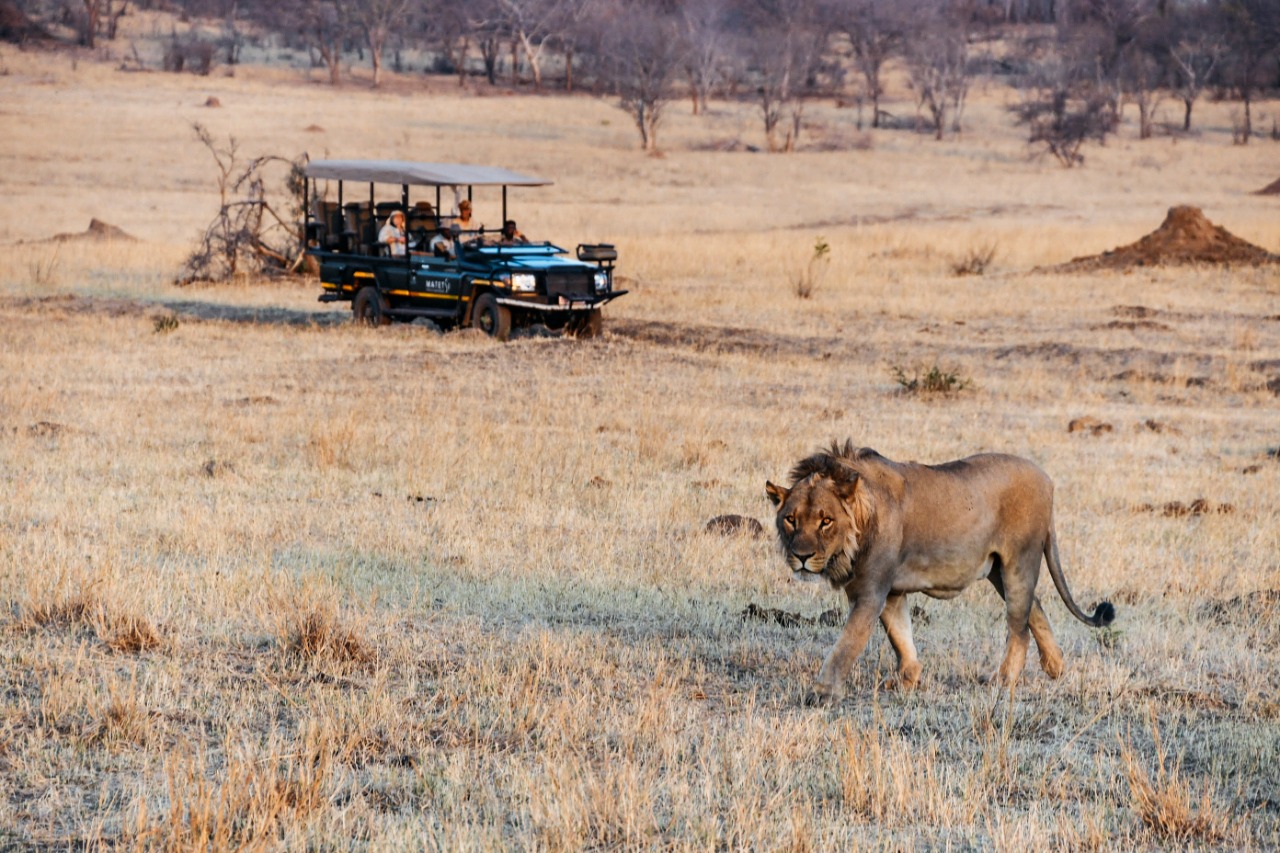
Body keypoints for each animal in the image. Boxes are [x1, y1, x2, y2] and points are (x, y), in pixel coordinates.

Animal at [762, 440, 1116, 701]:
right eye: (791, 519)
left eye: (826, 520)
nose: (801, 556)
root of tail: (1047, 478)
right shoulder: (891, 591)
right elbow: (900, 635)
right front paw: (907, 679)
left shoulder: (871, 591)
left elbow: (846, 645)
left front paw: (822, 692)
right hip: (997, 571)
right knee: (1037, 609)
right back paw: (1056, 667)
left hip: (1020, 560)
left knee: (1019, 627)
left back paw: (1003, 679)